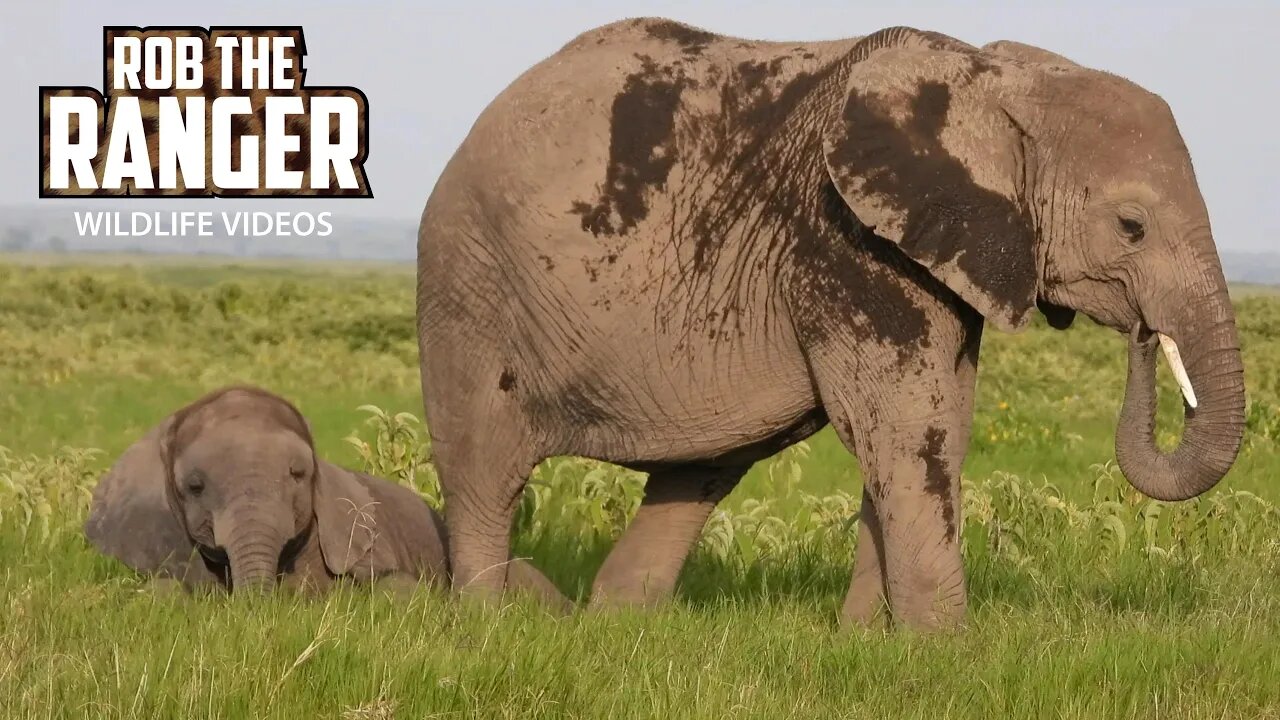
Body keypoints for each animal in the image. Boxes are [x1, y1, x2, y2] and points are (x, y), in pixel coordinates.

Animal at [414, 19, 1244, 627]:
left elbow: (931, 432)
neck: (992, 78)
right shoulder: (846, 240)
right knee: (484, 466)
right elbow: (909, 431)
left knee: (702, 468)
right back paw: (490, 624)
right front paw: (944, 653)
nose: (1146, 335)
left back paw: (616, 625)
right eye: (1132, 226)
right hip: (467, 286)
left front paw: (864, 645)